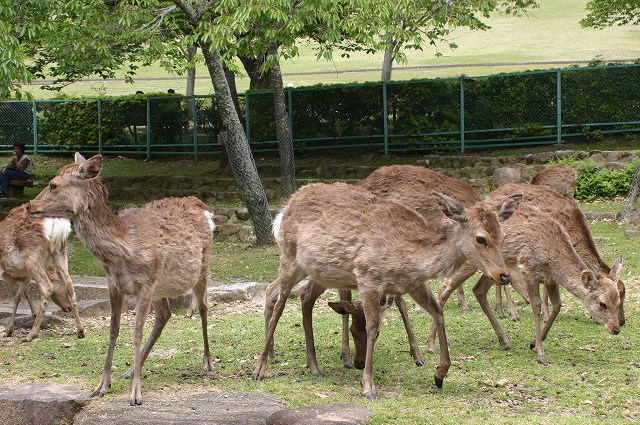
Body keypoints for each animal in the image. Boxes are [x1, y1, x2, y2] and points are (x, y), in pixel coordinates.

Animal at [0, 204, 84, 340]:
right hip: (60, 250)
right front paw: (10, 329)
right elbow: (19, 296)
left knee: (47, 287)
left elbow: (18, 295)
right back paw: (80, 330)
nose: (68, 307)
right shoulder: (25, 276)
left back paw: (31, 334)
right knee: (70, 282)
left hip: (32, 255)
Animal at [26, 152, 215, 404]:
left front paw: (136, 394)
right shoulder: (114, 284)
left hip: (202, 266)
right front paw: (102, 385)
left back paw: (207, 361)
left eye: (53, 184)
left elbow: (136, 331)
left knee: (203, 307)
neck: (122, 250)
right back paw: (130, 371)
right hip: (161, 288)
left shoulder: (147, 282)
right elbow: (114, 329)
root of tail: (204, 207)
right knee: (165, 315)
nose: (29, 205)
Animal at [250, 181, 520, 398]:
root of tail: (284, 210)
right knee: (281, 301)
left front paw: (439, 374)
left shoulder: (412, 284)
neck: (413, 256)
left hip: (318, 271)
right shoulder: (369, 278)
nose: (504, 275)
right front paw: (368, 387)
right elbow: (374, 328)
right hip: (290, 257)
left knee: (293, 296)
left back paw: (313, 367)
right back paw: (260, 368)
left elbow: (438, 313)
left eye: (504, 235)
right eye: (481, 238)